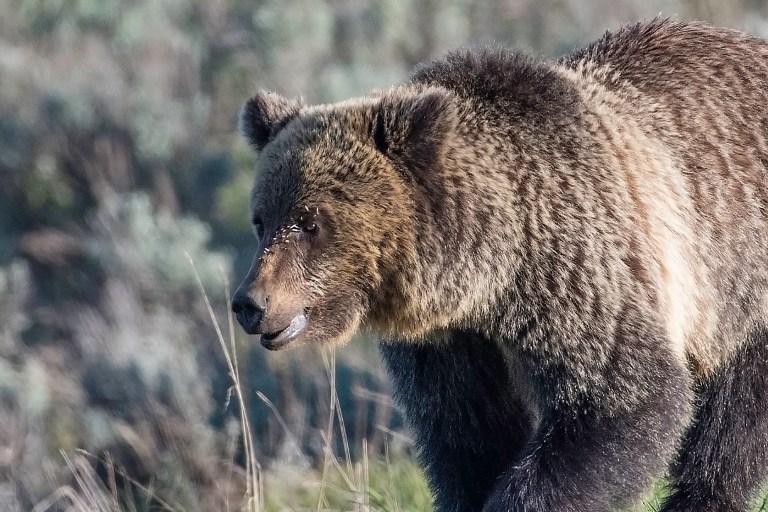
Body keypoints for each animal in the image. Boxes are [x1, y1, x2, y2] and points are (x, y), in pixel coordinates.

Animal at [231, 19, 768, 512]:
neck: (491, 277)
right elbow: (469, 434)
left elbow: (619, 401)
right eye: (261, 220)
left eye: (310, 221)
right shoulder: (449, 345)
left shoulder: (579, 271)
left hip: (739, 284)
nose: (250, 303)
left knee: (729, 435)